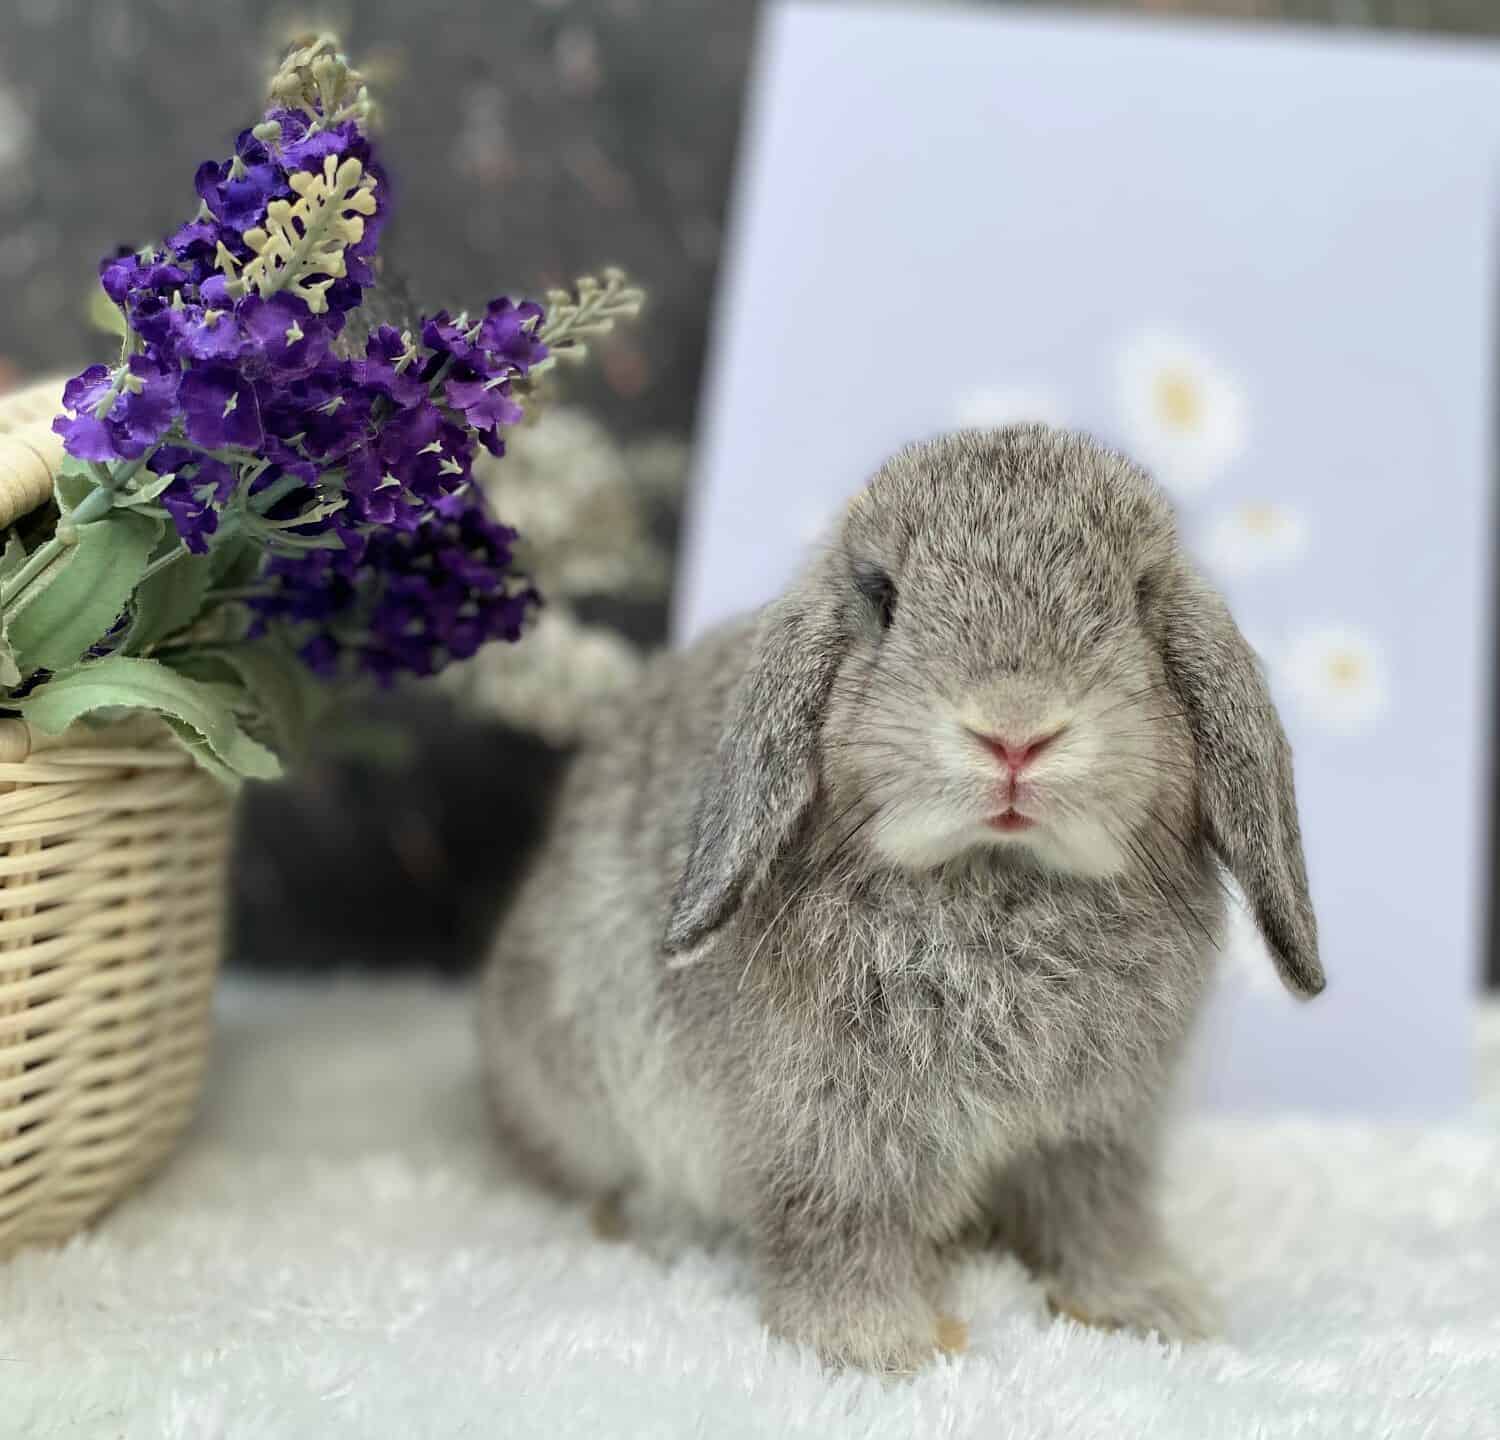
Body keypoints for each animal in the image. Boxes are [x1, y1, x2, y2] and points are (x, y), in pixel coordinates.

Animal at [474, 426, 1320, 1374]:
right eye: (882, 596)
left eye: (1139, 597)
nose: (1015, 731)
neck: (998, 877)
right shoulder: (832, 1143)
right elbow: (843, 1233)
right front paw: (879, 1348)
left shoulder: (1095, 1135)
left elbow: (1100, 1222)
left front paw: (1152, 1312)